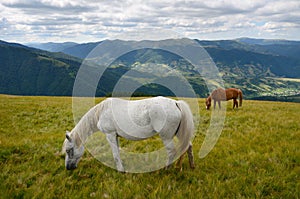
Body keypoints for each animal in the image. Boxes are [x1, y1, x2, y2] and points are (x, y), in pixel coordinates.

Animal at [62, 97, 196, 172]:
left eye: (69, 150)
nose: (68, 168)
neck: (101, 112)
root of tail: (176, 103)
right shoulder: (115, 136)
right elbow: (118, 152)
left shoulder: (110, 135)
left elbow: (115, 154)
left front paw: (120, 170)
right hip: (179, 133)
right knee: (188, 146)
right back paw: (190, 166)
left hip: (166, 137)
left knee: (171, 151)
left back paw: (166, 169)